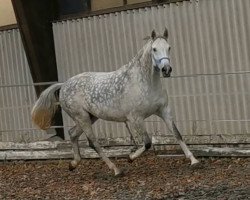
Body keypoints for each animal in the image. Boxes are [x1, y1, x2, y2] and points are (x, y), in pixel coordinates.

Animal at [31, 28, 199, 176]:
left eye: (169, 47)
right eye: (154, 49)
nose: (166, 70)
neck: (145, 82)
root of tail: (64, 85)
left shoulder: (164, 110)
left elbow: (177, 134)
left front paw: (194, 161)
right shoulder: (135, 118)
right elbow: (147, 142)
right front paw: (130, 158)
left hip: (89, 116)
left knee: (73, 134)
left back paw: (73, 164)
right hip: (82, 117)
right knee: (93, 142)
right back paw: (116, 170)